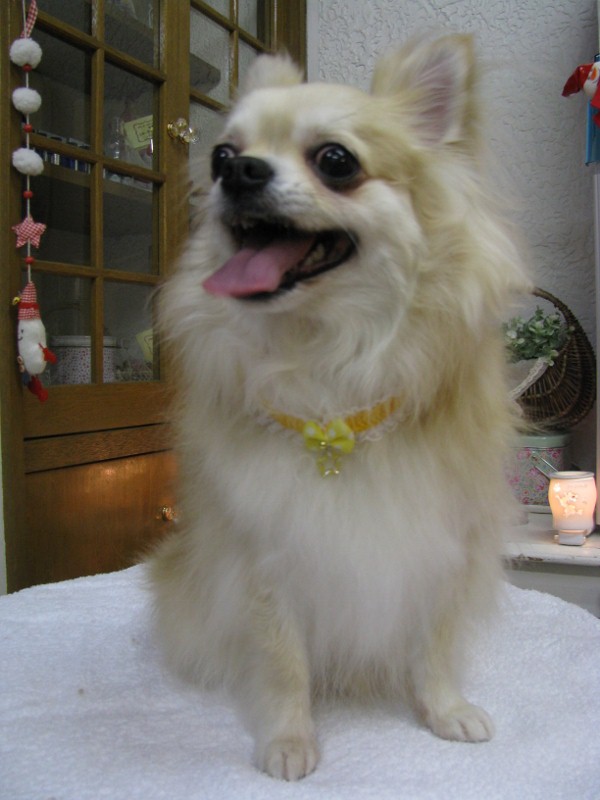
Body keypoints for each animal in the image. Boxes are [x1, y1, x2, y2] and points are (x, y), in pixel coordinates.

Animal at [149, 34, 529, 781]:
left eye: (335, 161)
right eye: (220, 156)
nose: (238, 172)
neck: (330, 373)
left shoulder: (442, 543)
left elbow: (434, 643)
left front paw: (443, 709)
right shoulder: (266, 559)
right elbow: (282, 662)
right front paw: (290, 739)